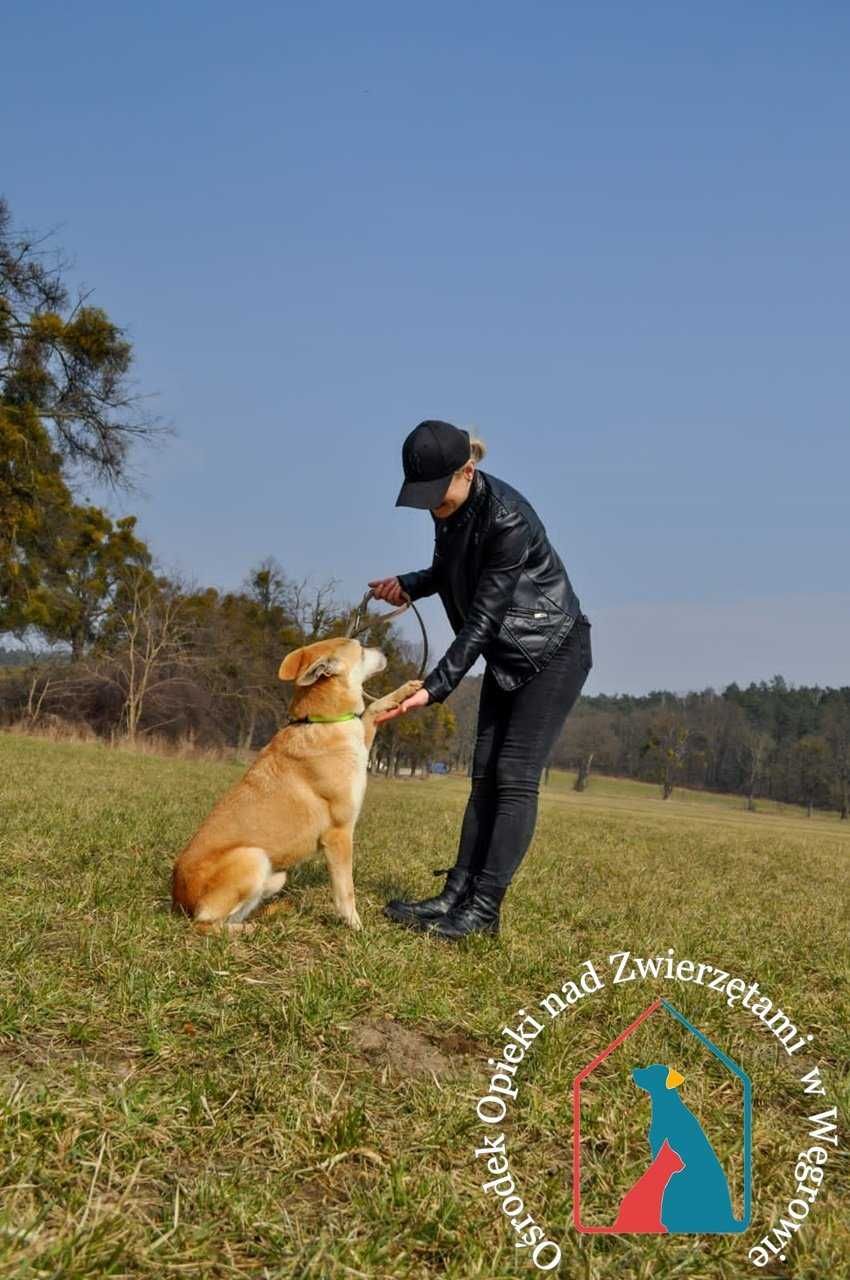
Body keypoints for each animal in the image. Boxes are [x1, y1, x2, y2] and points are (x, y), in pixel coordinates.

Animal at [171, 637, 422, 931]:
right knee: (206, 924)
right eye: (360, 649)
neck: (322, 720)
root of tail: (178, 903)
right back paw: (251, 929)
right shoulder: (339, 834)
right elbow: (345, 890)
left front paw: (405, 691)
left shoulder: (361, 735)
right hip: (252, 858)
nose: (384, 650)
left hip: (276, 877)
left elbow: (371, 709)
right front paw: (355, 927)